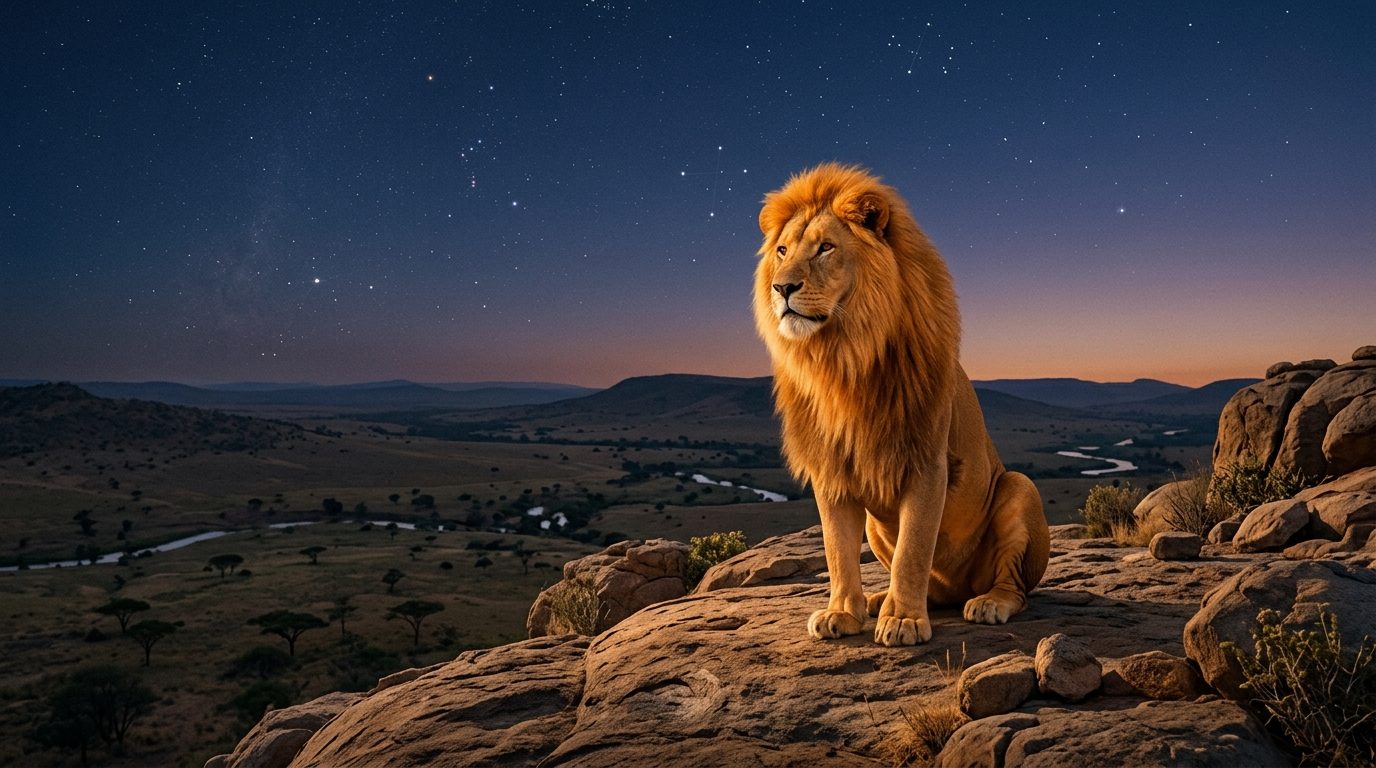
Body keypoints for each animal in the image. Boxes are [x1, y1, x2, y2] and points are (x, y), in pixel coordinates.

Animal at [753, 163, 1050, 647]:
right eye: (781, 251)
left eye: (825, 248)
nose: (782, 287)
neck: (844, 358)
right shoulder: (830, 469)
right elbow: (837, 551)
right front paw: (843, 612)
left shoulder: (926, 459)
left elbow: (913, 548)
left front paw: (905, 621)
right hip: (877, 530)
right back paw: (878, 601)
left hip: (1019, 487)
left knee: (1016, 587)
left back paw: (985, 603)